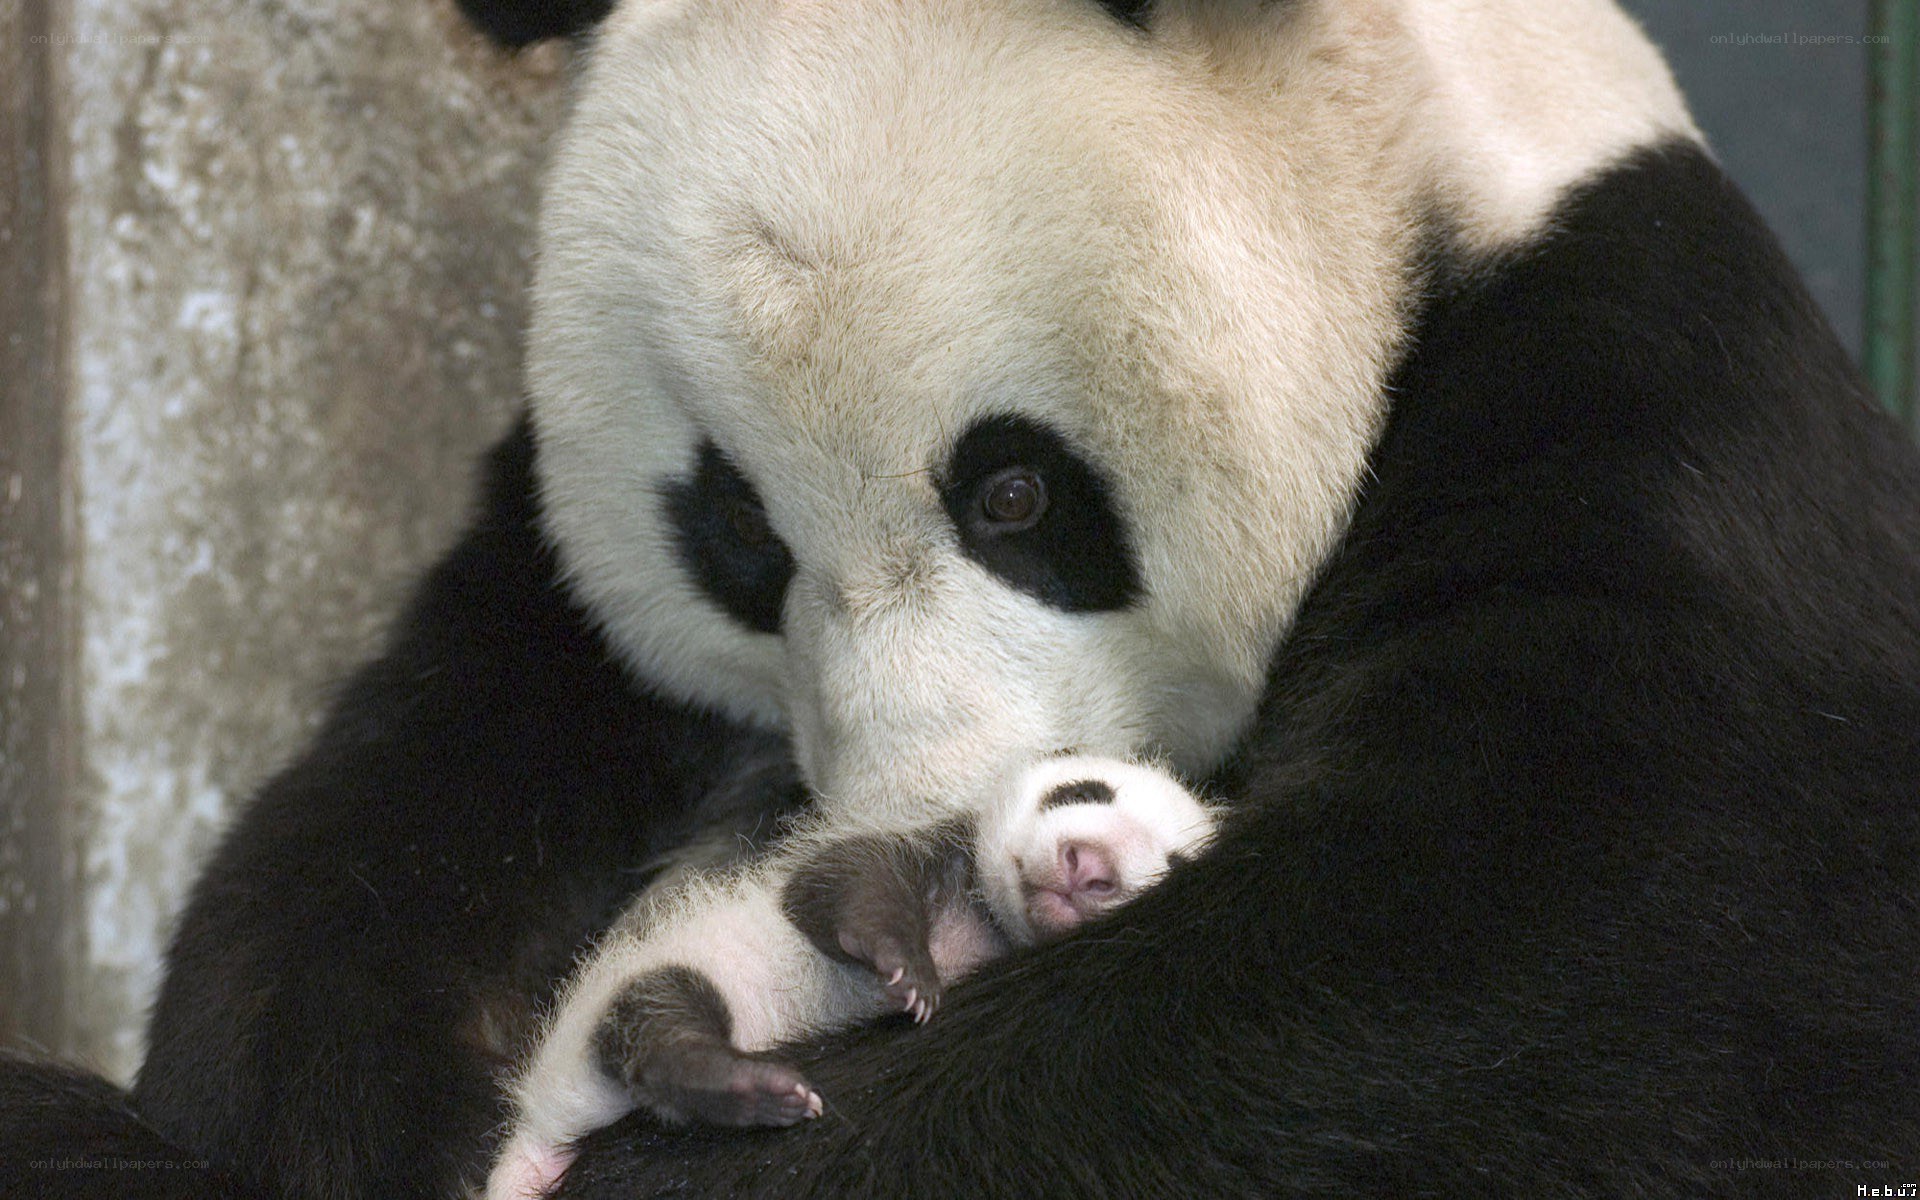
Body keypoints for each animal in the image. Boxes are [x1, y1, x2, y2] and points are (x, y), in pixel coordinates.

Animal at [6, 0, 1916, 1198]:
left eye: (1014, 493)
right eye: (736, 538)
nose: (919, 815)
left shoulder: (1648, 426)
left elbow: (1515, 962)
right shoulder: (551, 600)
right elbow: (370, 849)